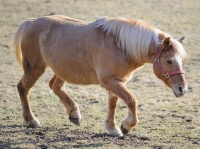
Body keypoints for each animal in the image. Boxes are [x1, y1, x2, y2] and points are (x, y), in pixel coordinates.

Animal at [13, 15, 188, 136]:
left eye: (182, 60)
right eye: (169, 61)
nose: (183, 89)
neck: (120, 46)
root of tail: (31, 22)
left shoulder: (116, 81)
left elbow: (113, 104)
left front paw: (112, 128)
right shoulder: (110, 81)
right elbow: (131, 100)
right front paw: (126, 126)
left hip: (61, 70)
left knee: (55, 86)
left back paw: (74, 114)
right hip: (34, 69)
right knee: (23, 88)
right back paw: (31, 120)